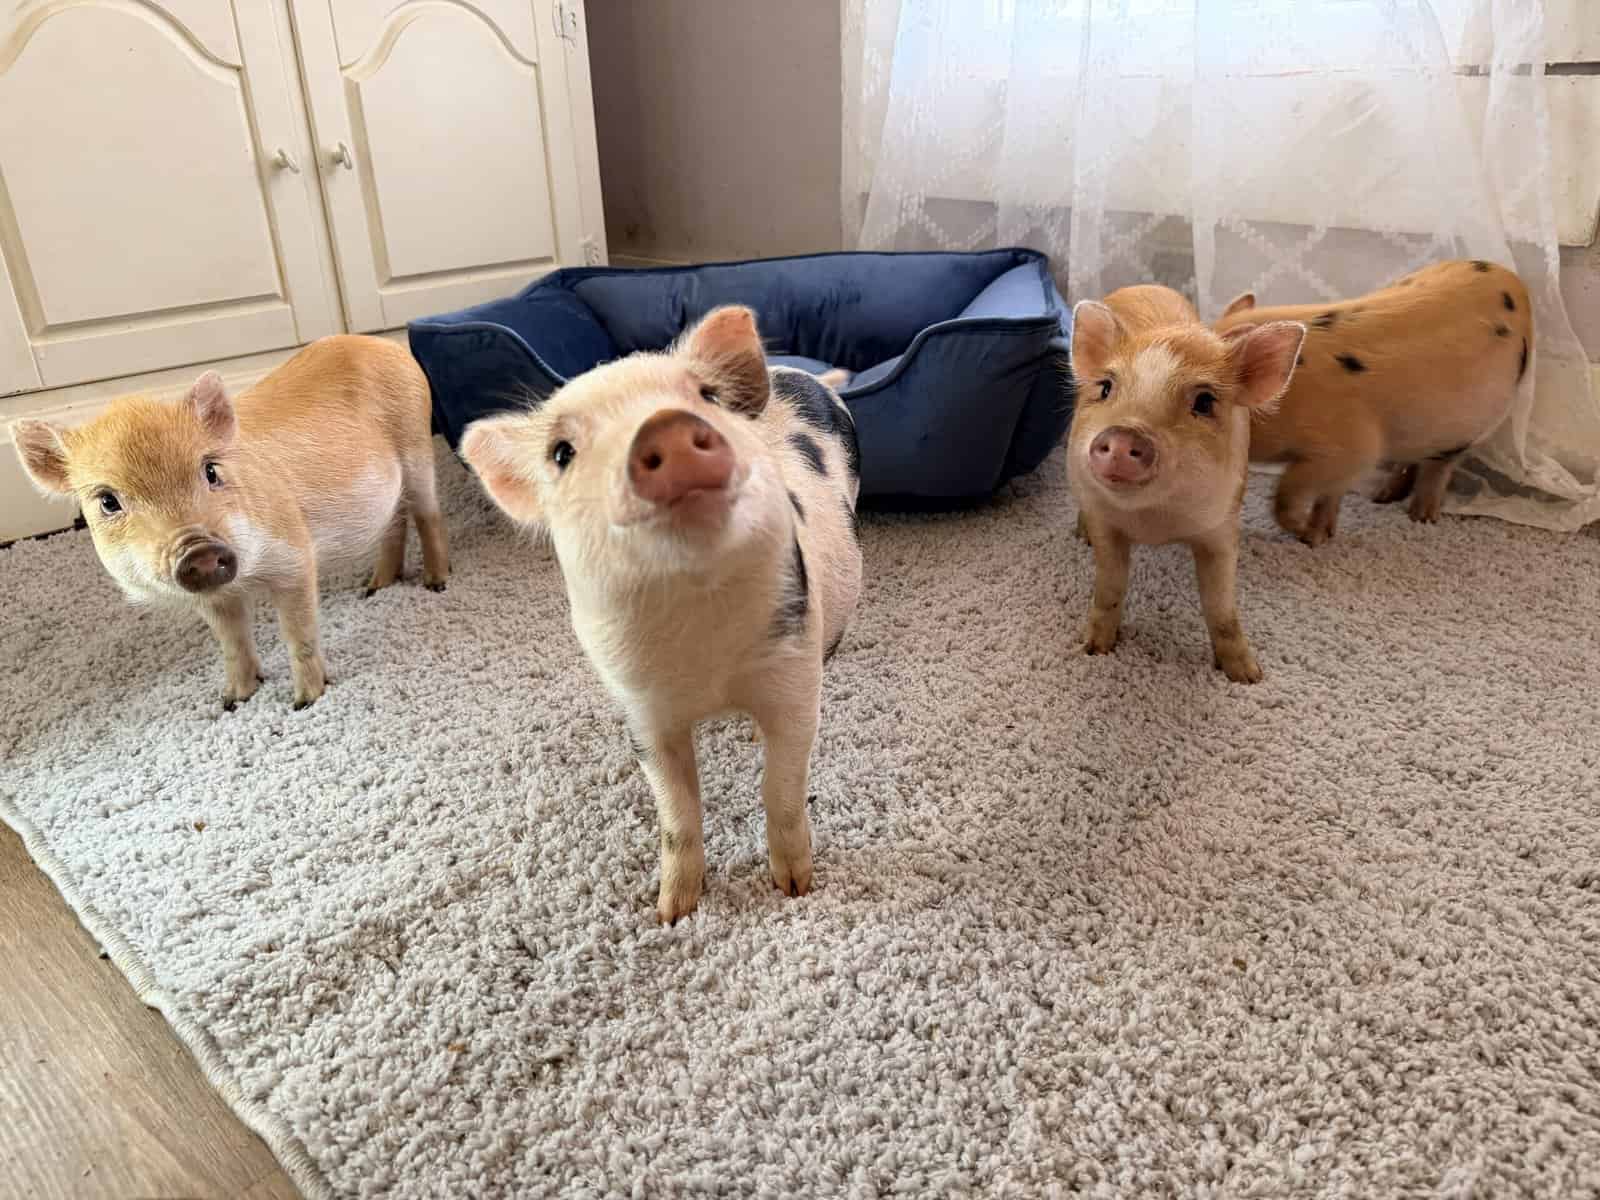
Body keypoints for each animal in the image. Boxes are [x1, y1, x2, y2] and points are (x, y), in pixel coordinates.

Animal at [10, 335, 448, 709]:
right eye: (107, 501)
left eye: (210, 471)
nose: (199, 550)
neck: (247, 580)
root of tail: (385, 345)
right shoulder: (213, 597)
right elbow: (232, 642)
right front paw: (232, 701)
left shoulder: (294, 557)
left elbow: (299, 635)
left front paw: (305, 702)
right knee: (395, 522)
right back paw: (373, 589)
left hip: (417, 446)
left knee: (428, 514)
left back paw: (435, 583)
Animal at [459, 306, 862, 923]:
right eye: (561, 452)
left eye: (707, 396)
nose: (665, 427)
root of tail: (806, 375)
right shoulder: (642, 708)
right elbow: (676, 812)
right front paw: (672, 912)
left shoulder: (793, 668)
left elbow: (784, 788)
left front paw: (795, 888)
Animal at [1068, 285, 1306, 683]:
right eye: (1106, 388)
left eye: (1205, 401)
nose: (1123, 434)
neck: (1154, 522)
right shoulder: (1106, 521)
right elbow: (1109, 587)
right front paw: (1092, 649)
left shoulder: (1223, 527)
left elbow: (1221, 607)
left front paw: (1248, 676)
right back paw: (1080, 535)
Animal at [1215, 258, 1533, 545]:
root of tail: (1518, 285)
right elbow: (1329, 494)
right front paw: (1320, 536)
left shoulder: (1351, 448)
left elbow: (1287, 495)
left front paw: (1305, 534)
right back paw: (1382, 497)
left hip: (1471, 426)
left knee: (1439, 466)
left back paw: (1421, 516)